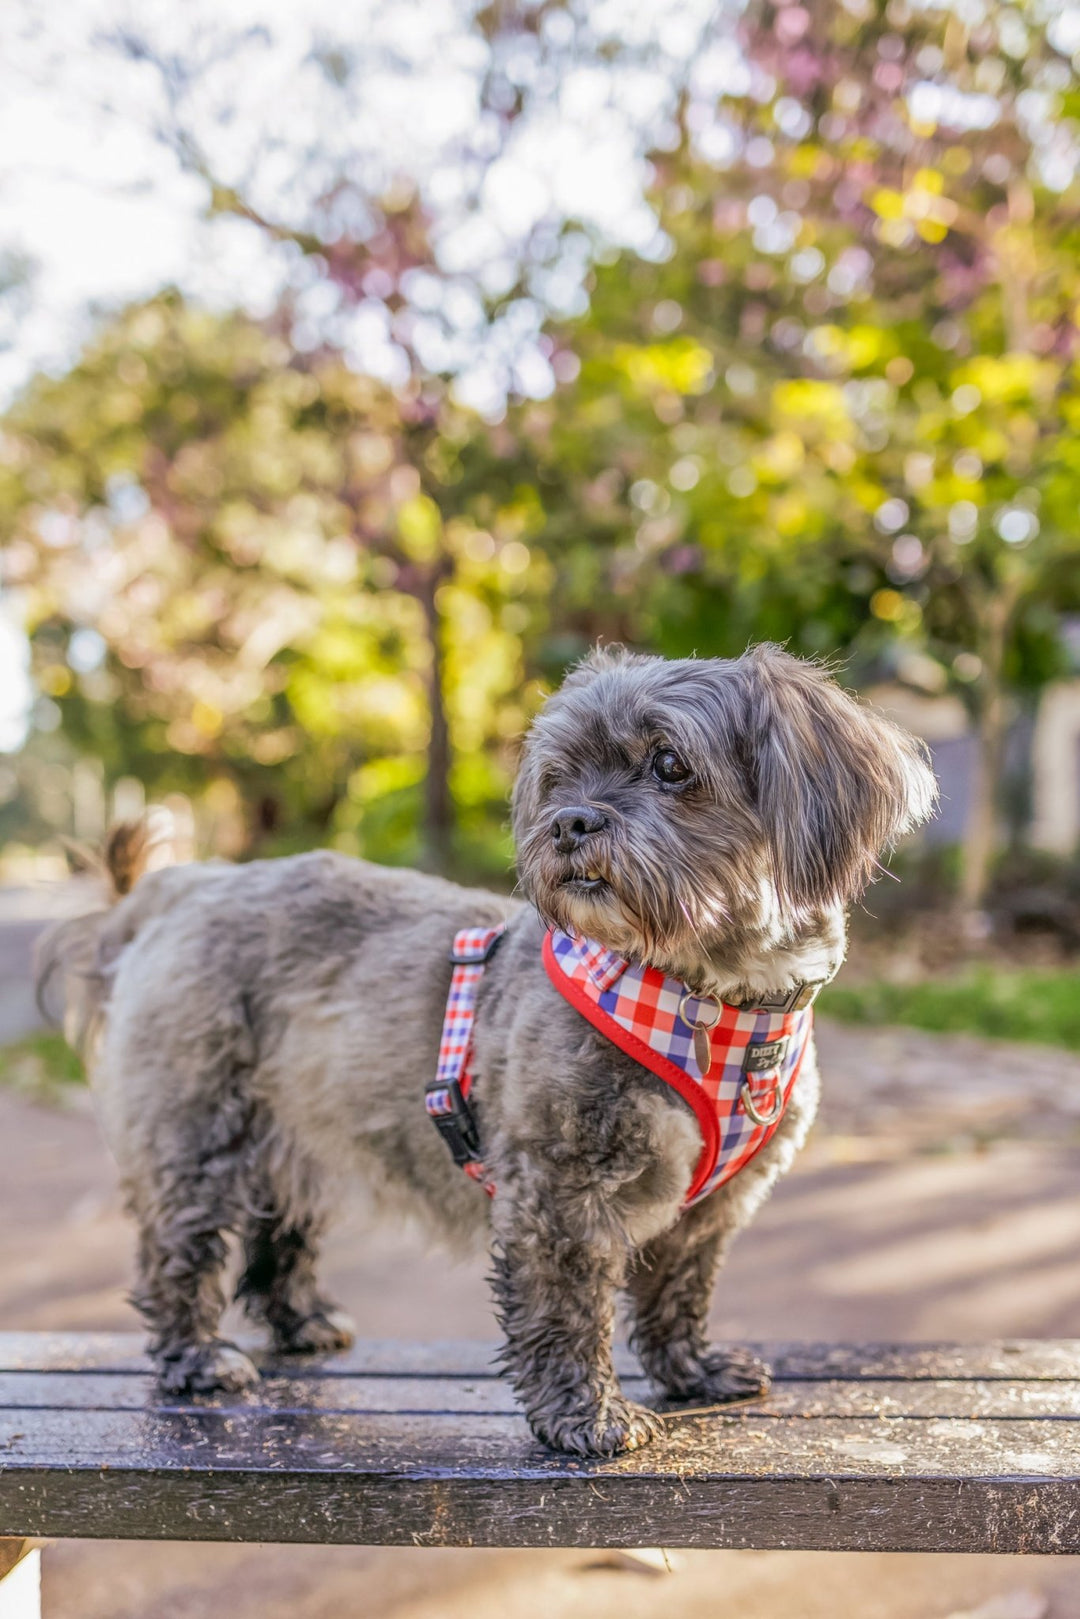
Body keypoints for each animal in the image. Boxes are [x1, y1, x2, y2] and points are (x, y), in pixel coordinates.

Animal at [40, 641, 939, 1457]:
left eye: (671, 765)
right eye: (561, 776)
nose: (571, 822)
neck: (707, 995)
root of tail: (180, 889)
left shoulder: (708, 1211)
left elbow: (680, 1290)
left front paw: (692, 1371)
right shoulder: (559, 1190)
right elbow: (567, 1307)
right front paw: (588, 1416)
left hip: (290, 1132)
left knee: (277, 1230)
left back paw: (302, 1322)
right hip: (199, 1133)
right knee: (179, 1249)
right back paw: (197, 1358)